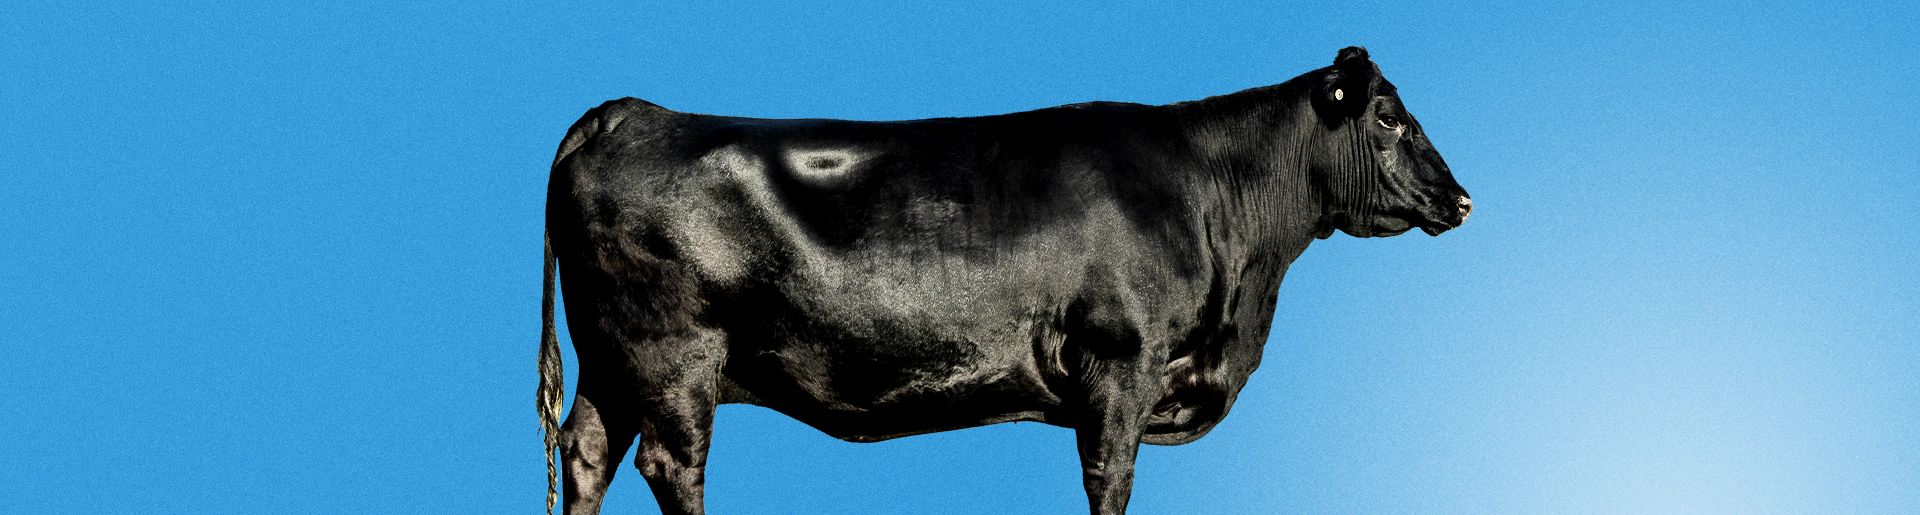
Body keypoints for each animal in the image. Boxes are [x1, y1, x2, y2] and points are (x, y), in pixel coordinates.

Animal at [538, 47, 1470, 515]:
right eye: (1390, 117)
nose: (1462, 199)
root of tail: (626, 111)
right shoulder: (1121, 358)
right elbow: (1110, 478)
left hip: (611, 361)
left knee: (586, 452)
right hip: (673, 354)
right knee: (672, 463)